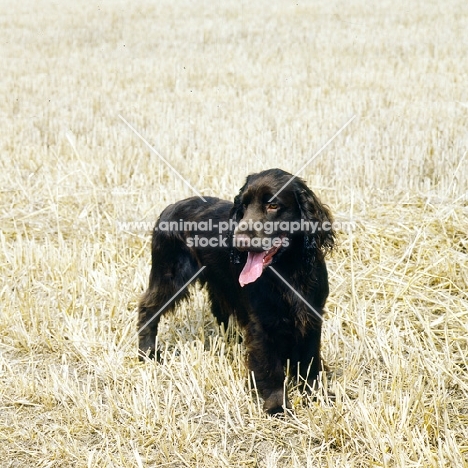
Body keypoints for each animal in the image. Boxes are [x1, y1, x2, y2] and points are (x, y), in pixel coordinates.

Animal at [137, 169, 334, 414]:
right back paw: (148, 353)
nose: (239, 240)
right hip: (170, 278)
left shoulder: (311, 314)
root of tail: (170, 207)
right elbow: (270, 365)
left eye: (273, 205)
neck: (287, 270)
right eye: (244, 205)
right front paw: (277, 406)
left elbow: (310, 359)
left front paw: (318, 395)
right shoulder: (261, 322)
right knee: (147, 308)